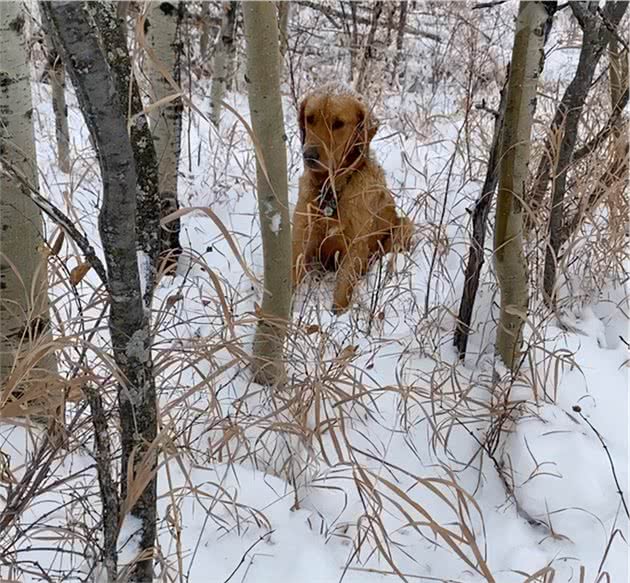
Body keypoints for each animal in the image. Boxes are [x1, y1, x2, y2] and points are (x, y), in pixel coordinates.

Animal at [292, 82, 414, 314]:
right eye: (310, 118)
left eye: (338, 123)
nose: (309, 155)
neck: (332, 189)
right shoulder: (302, 235)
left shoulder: (355, 247)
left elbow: (342, 289)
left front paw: (337, 317)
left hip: (405, 225)